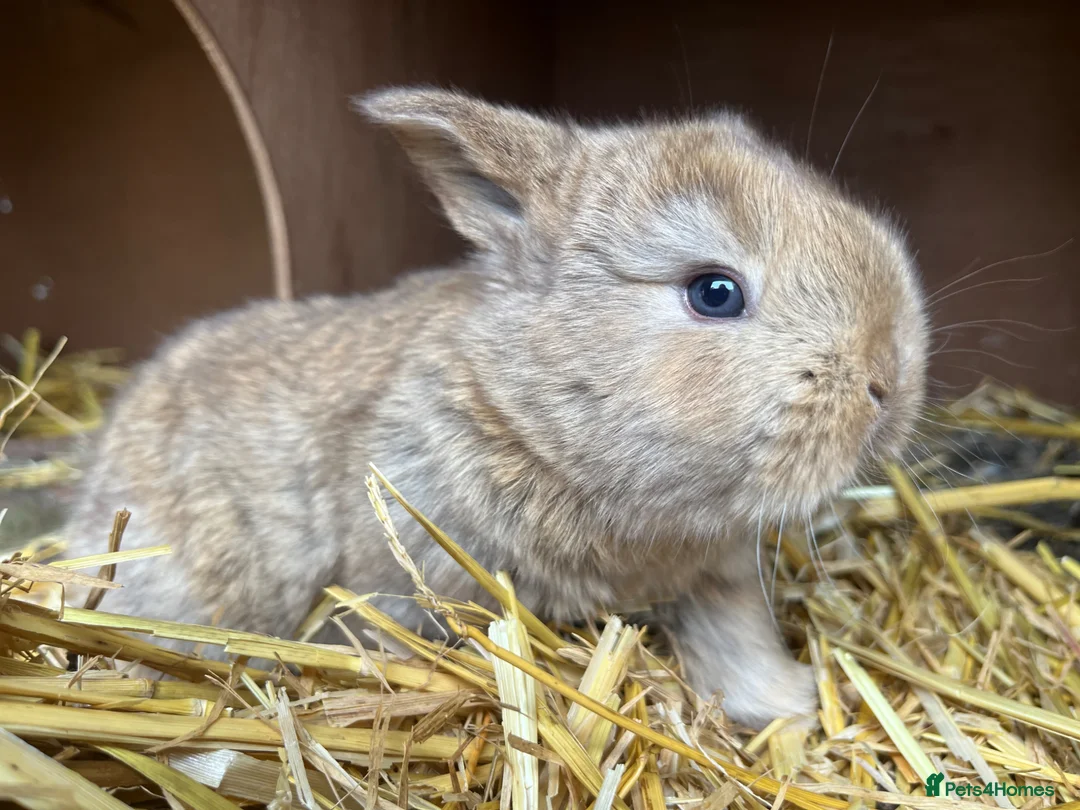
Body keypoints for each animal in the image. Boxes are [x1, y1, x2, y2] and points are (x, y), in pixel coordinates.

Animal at [61, 87, 928, 729]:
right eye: (715, 292)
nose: (888, 381)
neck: (536, 415)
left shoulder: (715, 574)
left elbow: (735, 634)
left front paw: (786, 705)